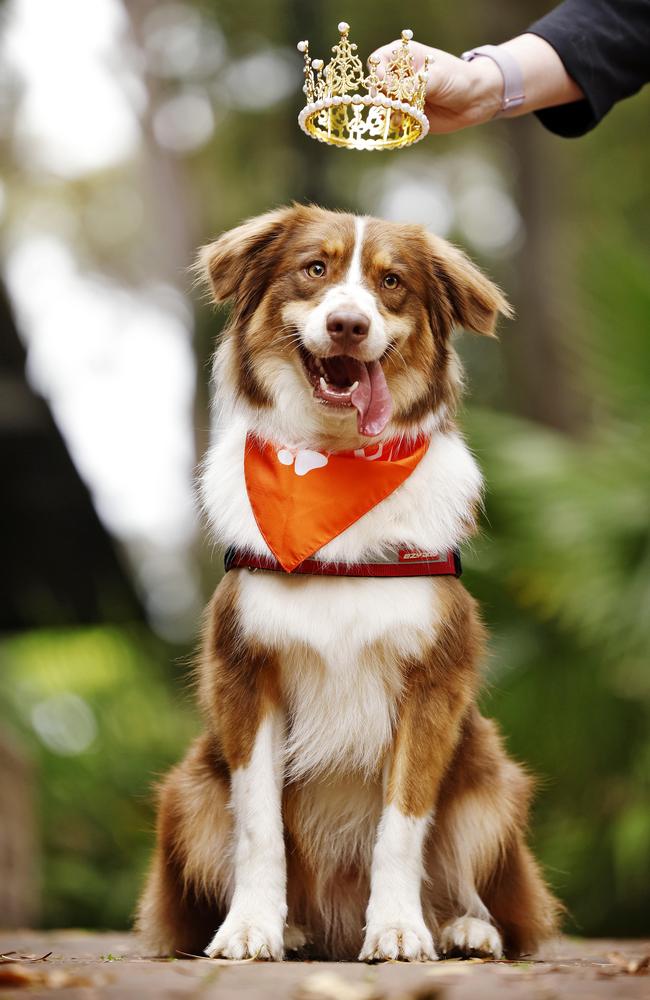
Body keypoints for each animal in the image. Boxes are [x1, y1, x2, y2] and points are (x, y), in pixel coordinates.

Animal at [135, 201, 556, 960]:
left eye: (391, 282)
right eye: (315, 269)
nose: (348, 325)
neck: (333, 466)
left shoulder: (432, 686)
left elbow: (401, 826)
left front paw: (398, 929)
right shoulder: (247, 673)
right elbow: (259, 826)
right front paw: (252, 927)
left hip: (492, 776)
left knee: (493, 893)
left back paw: (465, 928)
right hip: (189, 788)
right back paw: (296, 926)